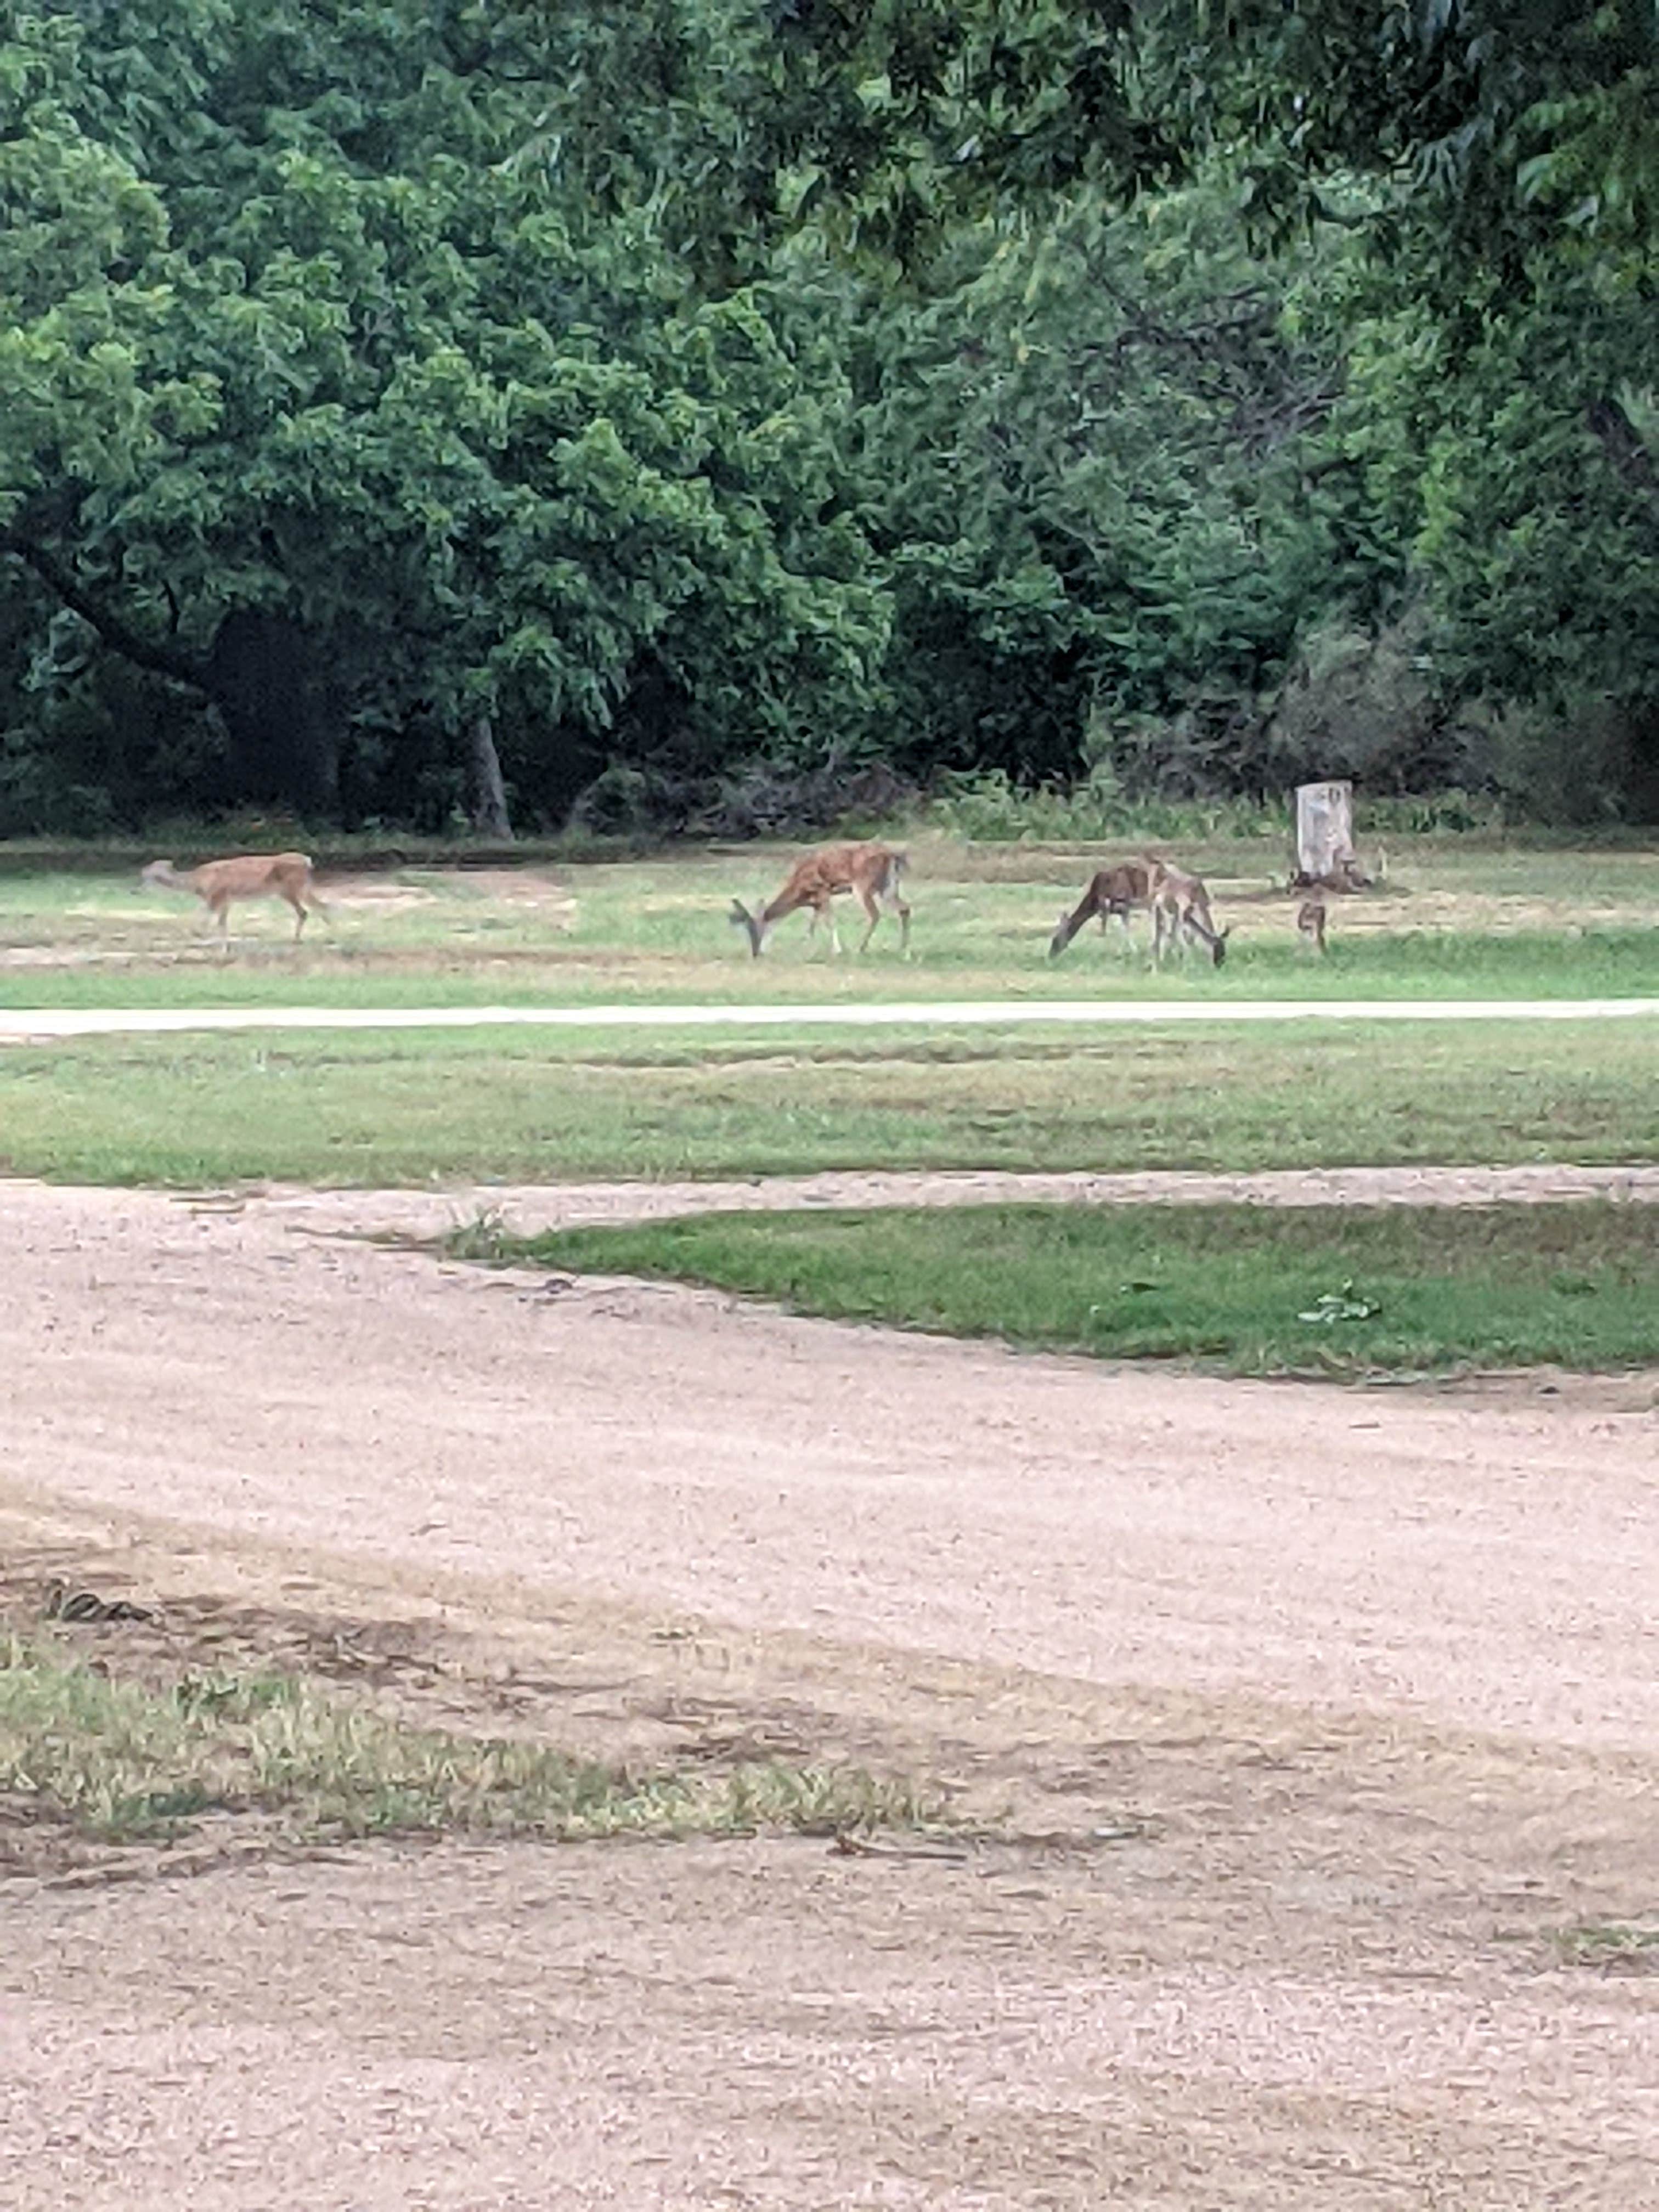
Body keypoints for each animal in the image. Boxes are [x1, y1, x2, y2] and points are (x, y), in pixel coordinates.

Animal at [143, 849, 331, 946]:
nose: (142, 872)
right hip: (290, 889)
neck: (197, 883)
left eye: (151, 869)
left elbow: (205, 917)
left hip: (292, 887)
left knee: (309, 910)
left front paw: (198, 936)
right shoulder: (226, 899)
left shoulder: (217, 895)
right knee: (316, 907)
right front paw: (224, 945)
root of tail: (307, 861)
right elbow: (222, 923)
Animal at [730, 840, 916, 955]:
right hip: (889, 887)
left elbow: (829, 921)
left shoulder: (823, 890)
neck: (799, 888)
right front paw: (806, 945)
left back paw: (860, 949)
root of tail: (891, 855)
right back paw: (904, 949)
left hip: (863, 886)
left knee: (875, 914)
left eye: (753, 929)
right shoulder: (816, 902)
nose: (755, 952)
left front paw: (838, 950)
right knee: (904, 908)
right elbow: (813, 923)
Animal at [1053, 854, 1159, 960]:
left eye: (1056, 938)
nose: (1051, 954)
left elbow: (1117, 930)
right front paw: (1128, 952)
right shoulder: (1120, 910)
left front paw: (1123, 953)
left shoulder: (1120, 907)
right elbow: (1122, 929)